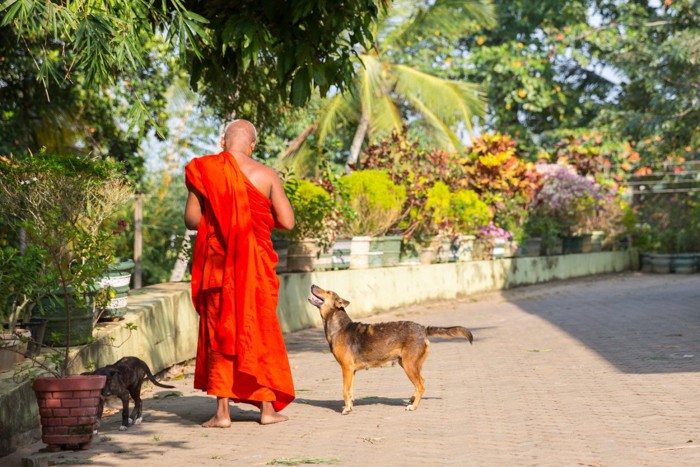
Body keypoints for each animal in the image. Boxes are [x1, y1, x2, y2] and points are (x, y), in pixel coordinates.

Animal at [308, 286, 474, 414]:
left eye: (328, 291)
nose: (312, 285)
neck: (339, 326)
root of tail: (423, 329)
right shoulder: (351, 371)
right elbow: (350, 391)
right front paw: (350, 406)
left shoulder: (346, 368)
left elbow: (344, 391)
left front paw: (347, 409)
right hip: (412, 364)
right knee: (421, 381)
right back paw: (412, 400)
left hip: (408, 365)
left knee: (421, 385)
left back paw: (413, 406)